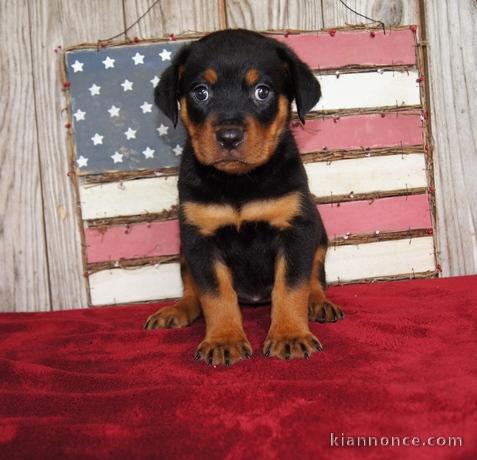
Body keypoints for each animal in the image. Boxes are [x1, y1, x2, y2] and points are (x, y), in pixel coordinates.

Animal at [144, 29, 342, 366]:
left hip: (319, 233)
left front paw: (289, 335)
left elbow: (291, 286)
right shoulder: (199, 239)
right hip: (184, 251)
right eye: (200, 92)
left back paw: (318, 302)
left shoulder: (296, 230)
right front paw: (224, 340)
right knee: (192, 291)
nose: (229, 137)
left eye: (262, 92)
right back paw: (177, 310)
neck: (239, 182)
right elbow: (214, 294)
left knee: (314, 276)